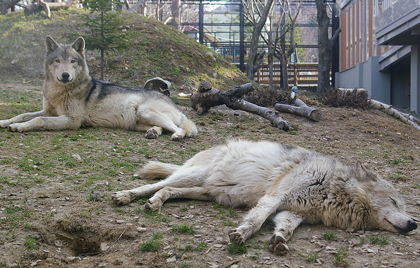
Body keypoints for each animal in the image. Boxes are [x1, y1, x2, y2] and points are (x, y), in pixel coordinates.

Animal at [0, 36, 197, 140]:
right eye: (57, 60)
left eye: (72, 61)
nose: (65, 75)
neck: (60, 92)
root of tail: (172, 101)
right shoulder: (48, 111)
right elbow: (23, 114)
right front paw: (5, 122)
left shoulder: (72, 120)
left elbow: (39, 120)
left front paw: (18, 127)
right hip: (138, 122)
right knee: (164, 127)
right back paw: (153, 132)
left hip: (146, 112)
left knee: (179, 128)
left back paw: (177, 135)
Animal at [111, 139, 416, 254]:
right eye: (394, 203)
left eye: (402, 206)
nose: (414, 223)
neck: (332, 188)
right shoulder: (276, 197)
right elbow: (257, 219)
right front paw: (241, 235)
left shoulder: (294, 211)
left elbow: (287, 228)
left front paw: (279, 240)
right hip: (194, 175)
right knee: (155, 185)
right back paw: (126, 196)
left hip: (210, 193)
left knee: (168, 190)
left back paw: (157, 202)